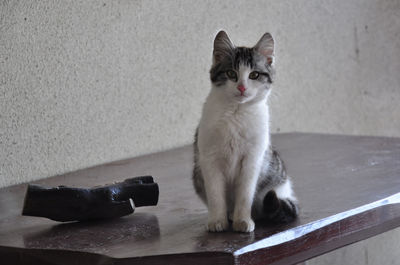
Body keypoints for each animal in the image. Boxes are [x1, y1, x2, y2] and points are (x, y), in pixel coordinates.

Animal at [192, 31, 298, 232]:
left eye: (254, 74)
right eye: (231, 73)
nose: (241, 87)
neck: (236, 112)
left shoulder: (252, 159)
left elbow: (245, 194)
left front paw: (242, 220)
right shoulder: (209, 159)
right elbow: (216, 194)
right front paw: (217, 220)